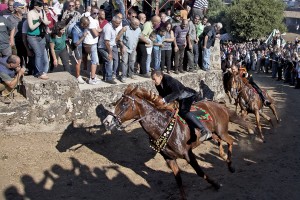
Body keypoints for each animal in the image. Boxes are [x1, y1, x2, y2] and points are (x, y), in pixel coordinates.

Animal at [103, 85, 255, 200]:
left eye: (124, 104)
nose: (106, 122)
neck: (162, 126)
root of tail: (219, 105)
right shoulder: (170, 159)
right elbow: (178, 180)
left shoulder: (188, 154)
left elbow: (200, 172)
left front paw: (216, 184)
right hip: (213, 134)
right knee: (219, 141)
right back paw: (223, 155)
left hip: (221, 131)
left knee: (231, 141)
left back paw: (230, 165)